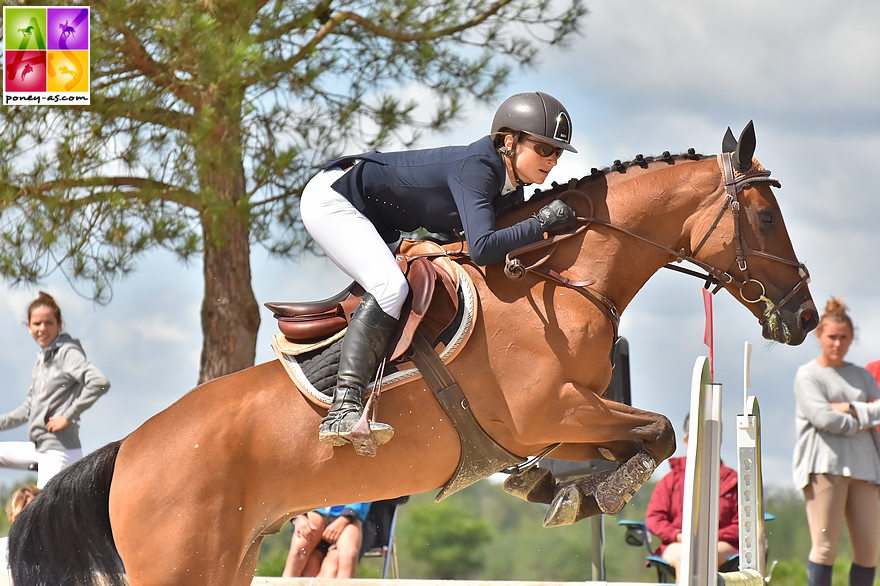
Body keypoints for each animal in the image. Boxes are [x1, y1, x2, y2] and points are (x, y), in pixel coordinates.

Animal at [8, 121, 820, 580]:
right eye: (765, 216)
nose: (807, 316)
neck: (555, 282)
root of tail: (126, 454)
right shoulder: (550, 411)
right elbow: (658, 429)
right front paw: (592, 492)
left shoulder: (568, 420)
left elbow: (640, 434)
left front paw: (561, 489)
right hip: (178, 562)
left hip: (226, 560)